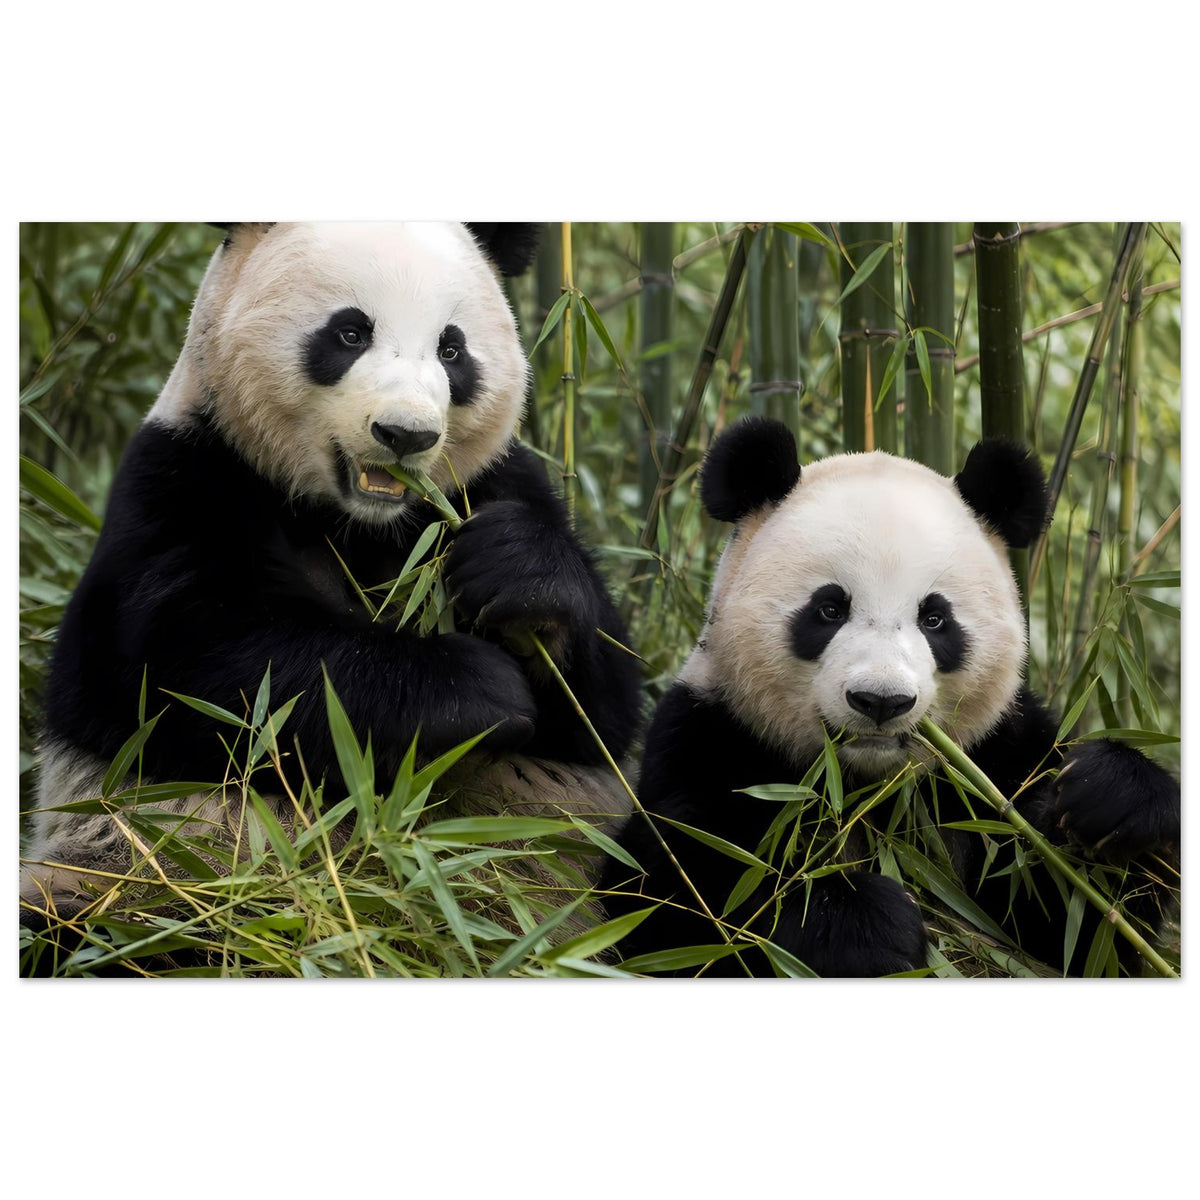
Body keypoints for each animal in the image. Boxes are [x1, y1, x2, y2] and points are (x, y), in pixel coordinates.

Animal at [21, 222, 641, 928]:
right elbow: (211, 672)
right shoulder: (182, 483)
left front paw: (518, 576)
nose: (405, 435)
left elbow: (602, 714)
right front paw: (477, 689)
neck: (358, 523)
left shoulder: (490, 484)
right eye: (349, 333)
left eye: (452, 349)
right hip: (124, 880)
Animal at [602, 416, 1180, 977]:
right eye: (829, 609)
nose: (881, 701)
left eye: (935, 618)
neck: (866, 789)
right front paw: (865, 927)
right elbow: (681, 892)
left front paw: (1108, 799)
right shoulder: (712, 735)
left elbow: (1081, 926)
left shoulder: (994, 758)